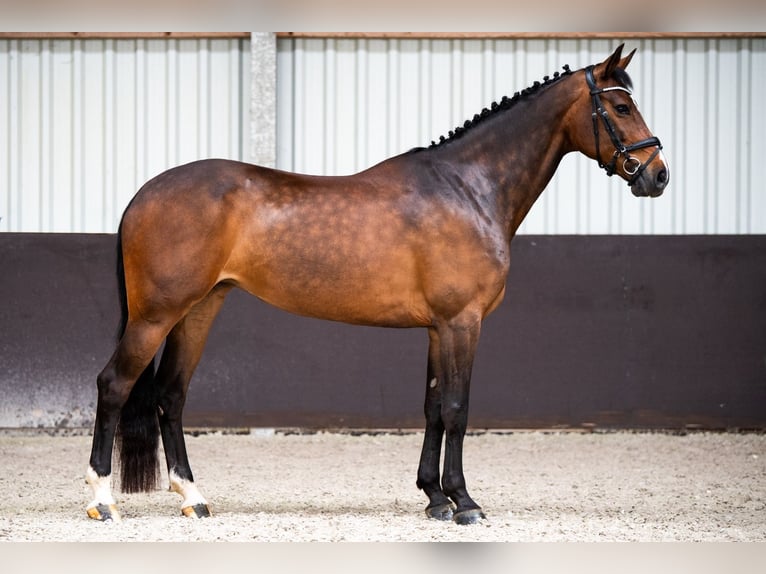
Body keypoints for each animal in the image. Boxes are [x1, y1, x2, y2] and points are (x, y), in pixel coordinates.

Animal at [85, 44, 668, 525]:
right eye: (620, 108)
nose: (657, 174)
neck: (468, 188)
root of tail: (143, 195)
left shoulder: (437, 328)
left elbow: (433, 407)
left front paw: (434, 498)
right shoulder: (462, 323)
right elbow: (458, 408)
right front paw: (465, 502)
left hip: (200, 309)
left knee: (170, 395)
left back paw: (193, 497)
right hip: (156, 315)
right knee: (114, 385)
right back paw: (102, 500)